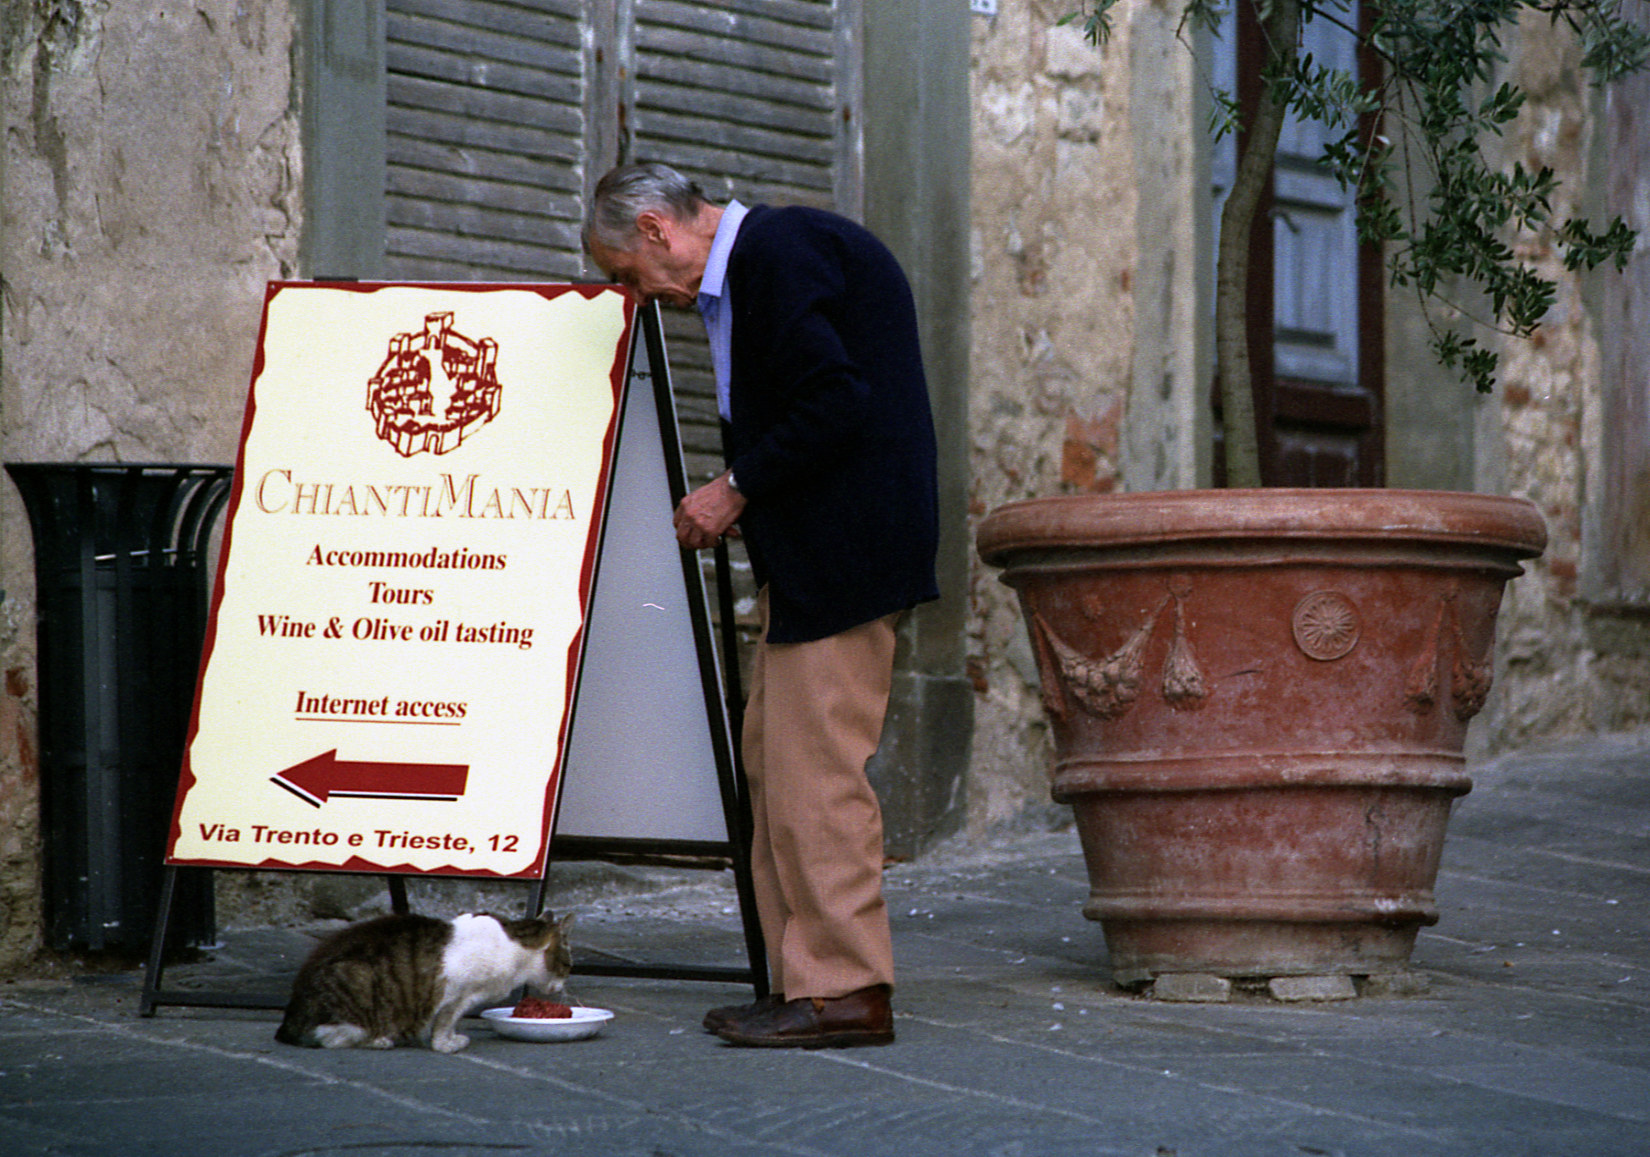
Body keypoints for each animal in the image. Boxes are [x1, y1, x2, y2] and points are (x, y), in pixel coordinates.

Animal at [275, 904, 574, 1049]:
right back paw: (378, 1040)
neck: (515, 948)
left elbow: (447, 1023)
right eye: (568, 966)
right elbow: (444, 1023)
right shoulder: (457, 995)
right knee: (332, 1037)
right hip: (356, 980)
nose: (562, 986)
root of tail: (290, 1020)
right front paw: (447, 1044)